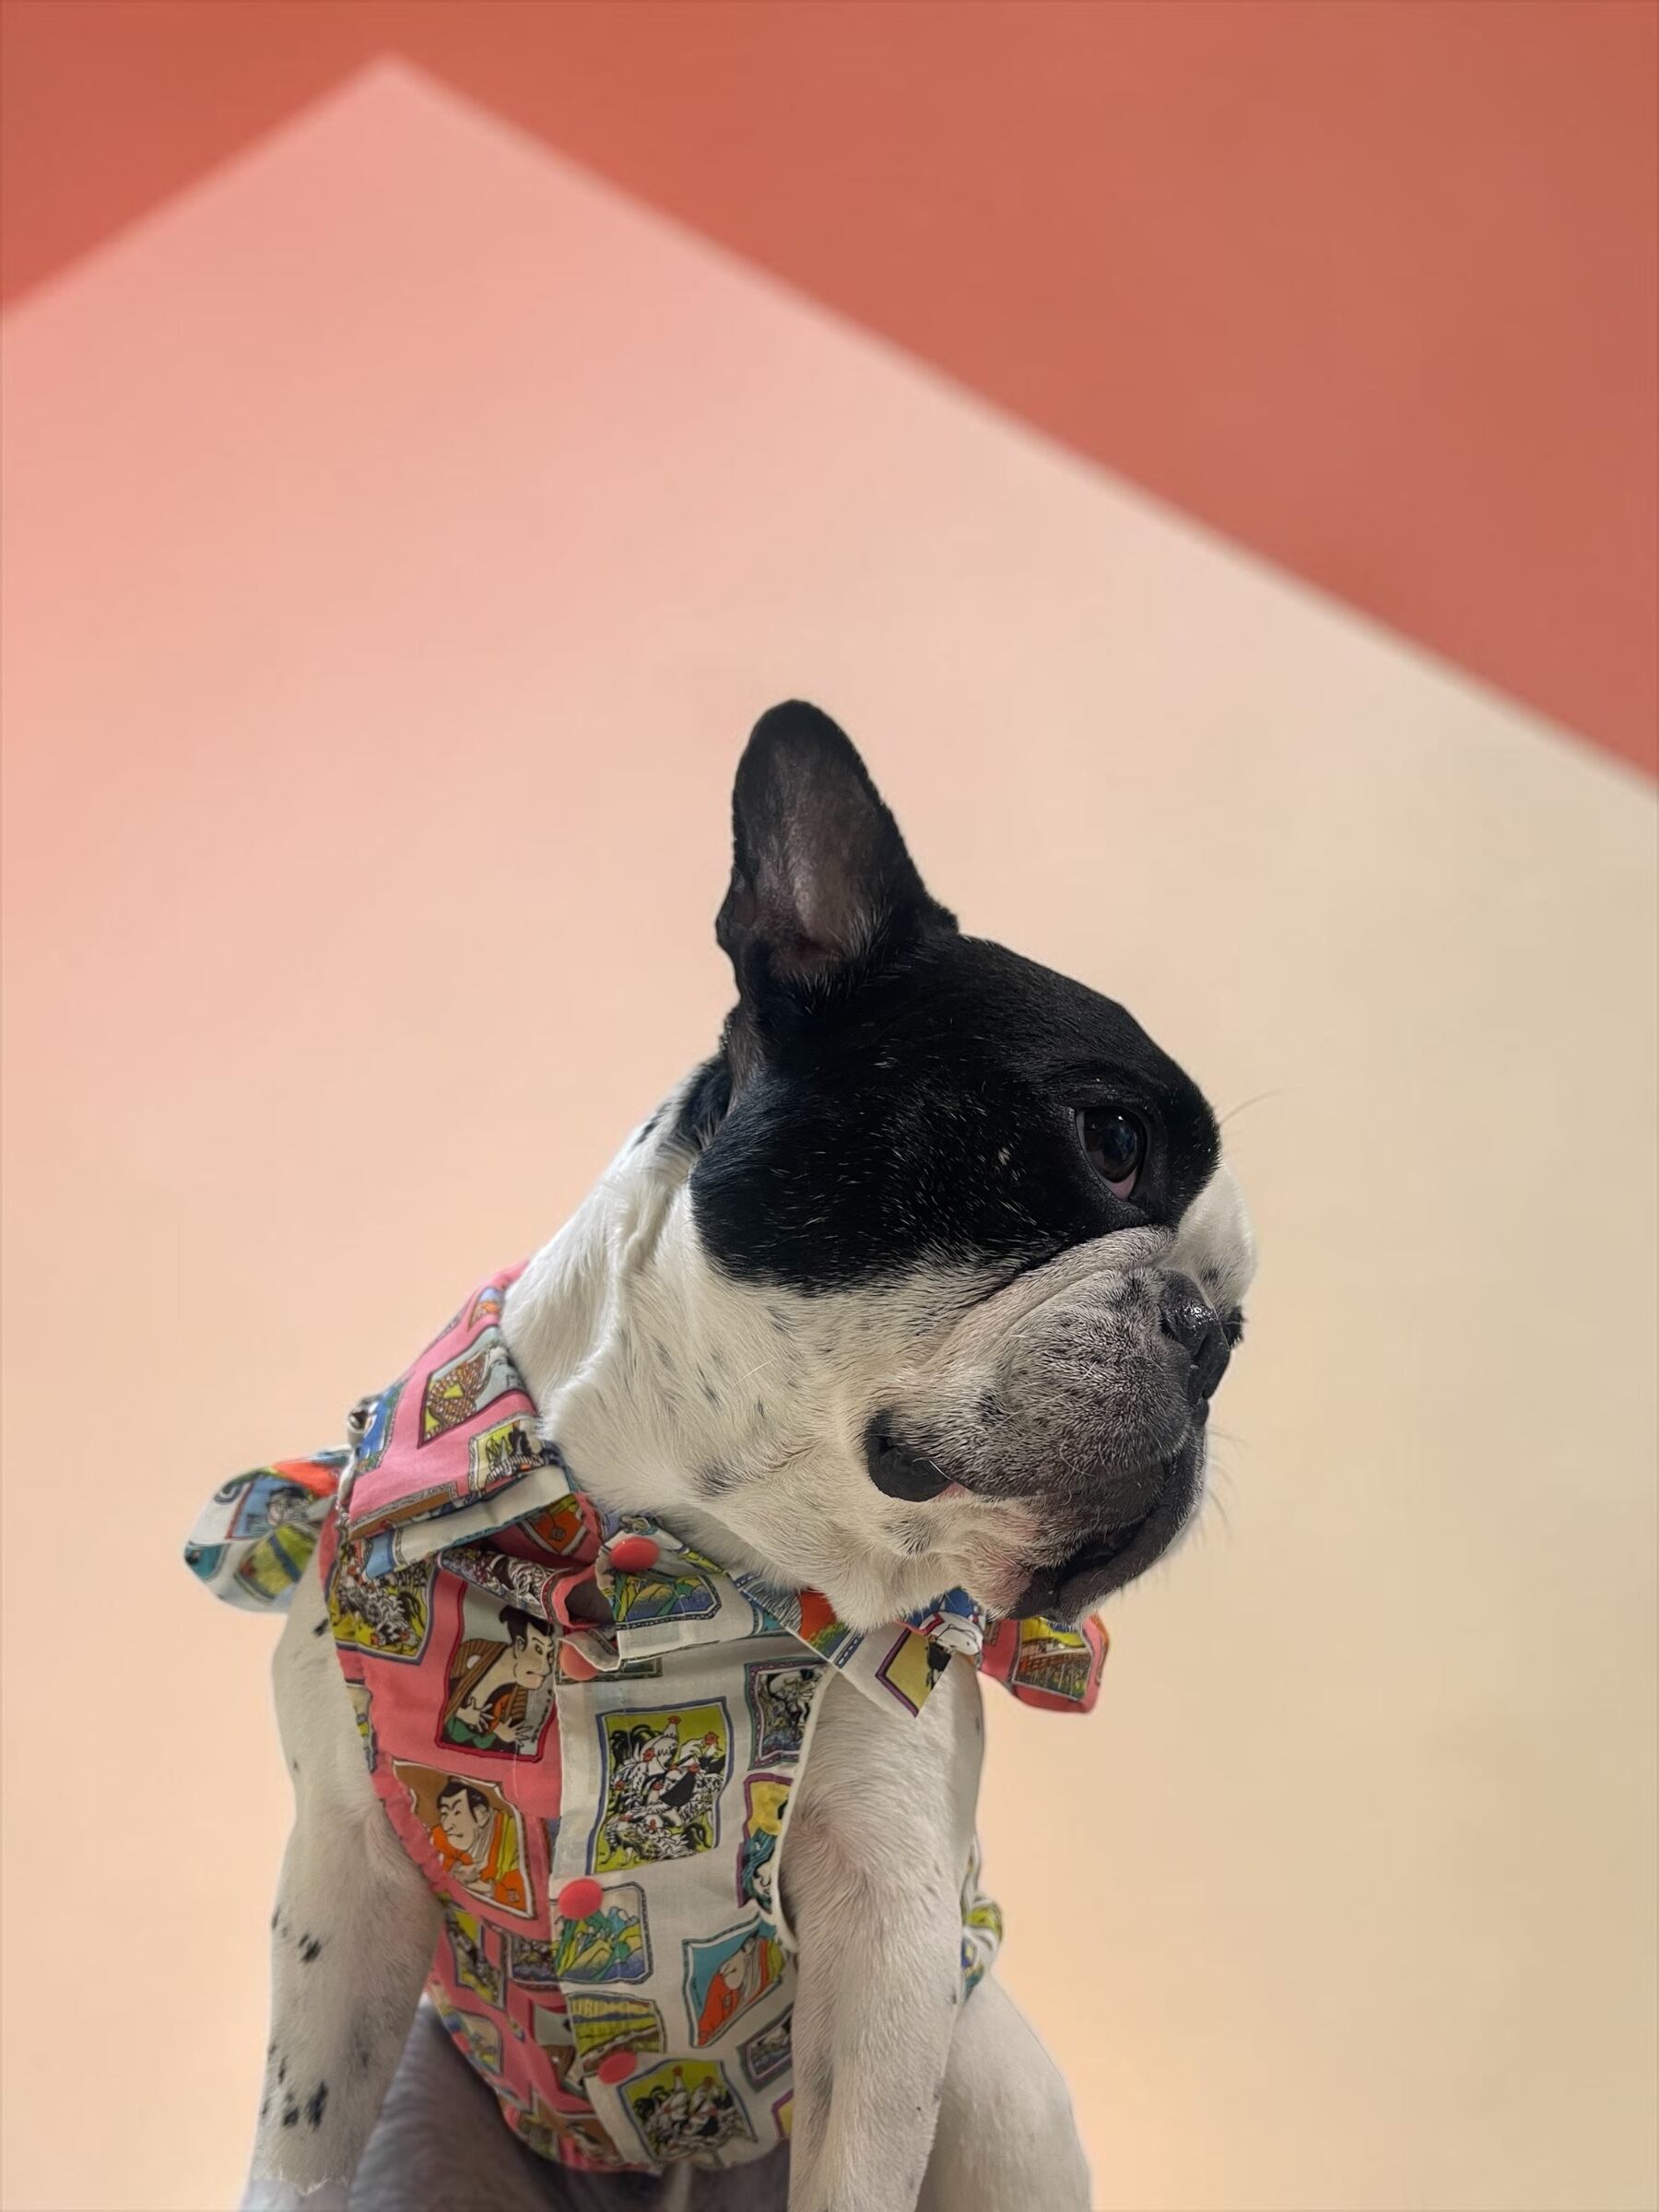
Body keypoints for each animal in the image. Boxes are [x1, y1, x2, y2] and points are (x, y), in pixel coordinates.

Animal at [218, 702, 1254, 2212]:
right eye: (1109, 1139)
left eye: (1243, 1304)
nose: (1215, 1330)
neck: (674, 1547)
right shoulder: (345, 1876)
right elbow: (297, 2147)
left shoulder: (890, 1933)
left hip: (993, 2072)